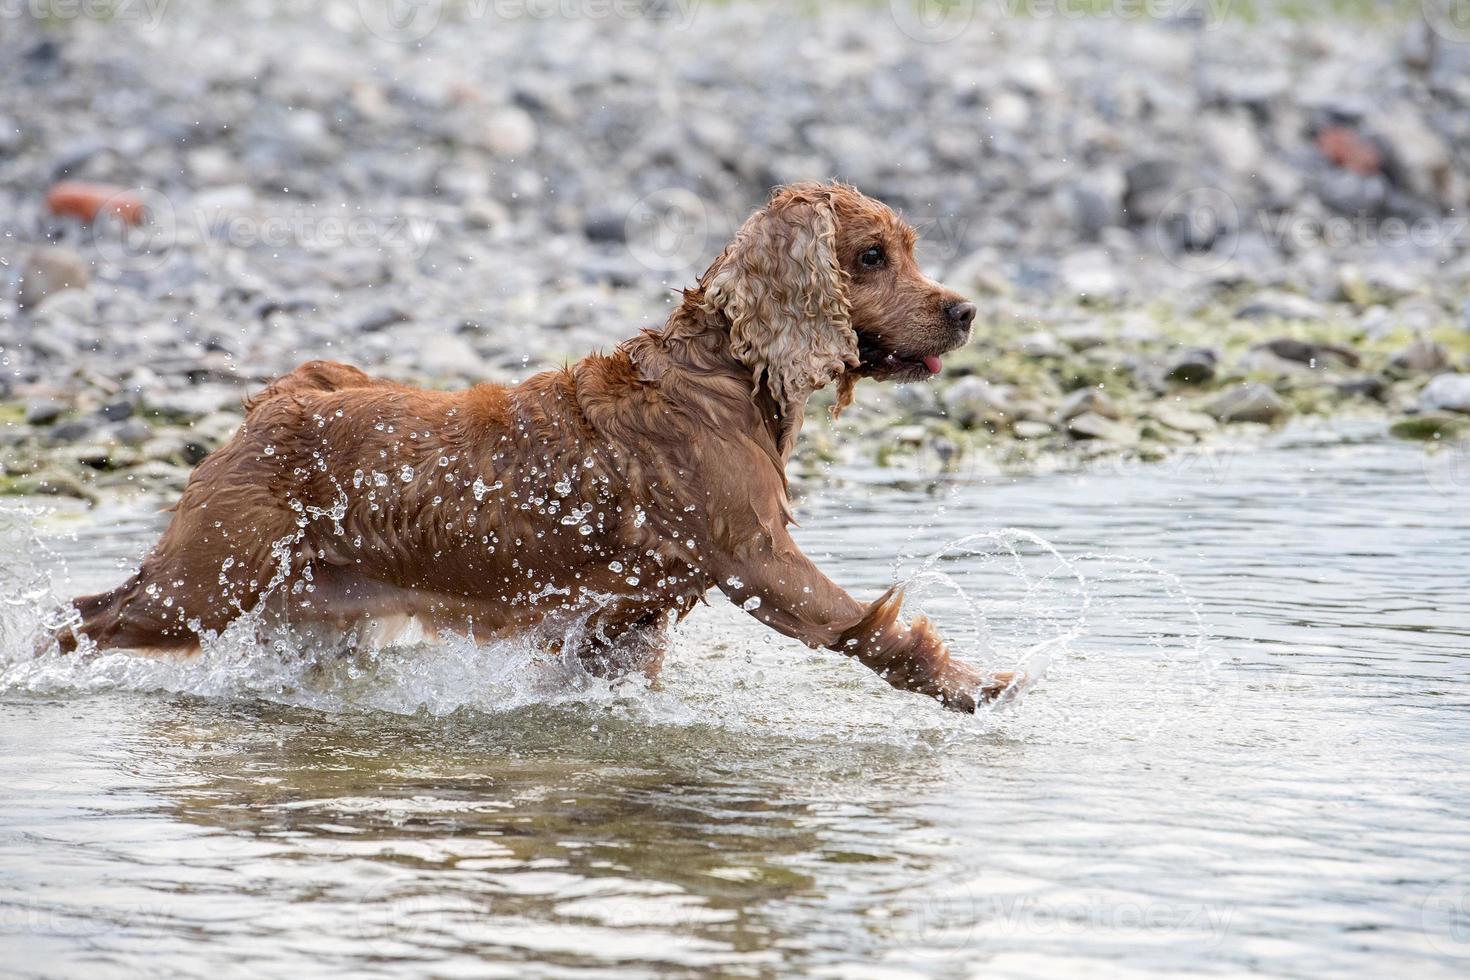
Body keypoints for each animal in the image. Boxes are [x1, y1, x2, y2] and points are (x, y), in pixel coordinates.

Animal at [60, 179, 1023, 708]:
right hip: (207, 577)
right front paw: (975, 686)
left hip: (301, 607)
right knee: (81, 620)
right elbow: (871, 632)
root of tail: (281, 397)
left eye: (908, 249)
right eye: (870, 257)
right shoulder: (756, 557)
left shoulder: (621, 620)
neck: (724, 377)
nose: (965, 309)